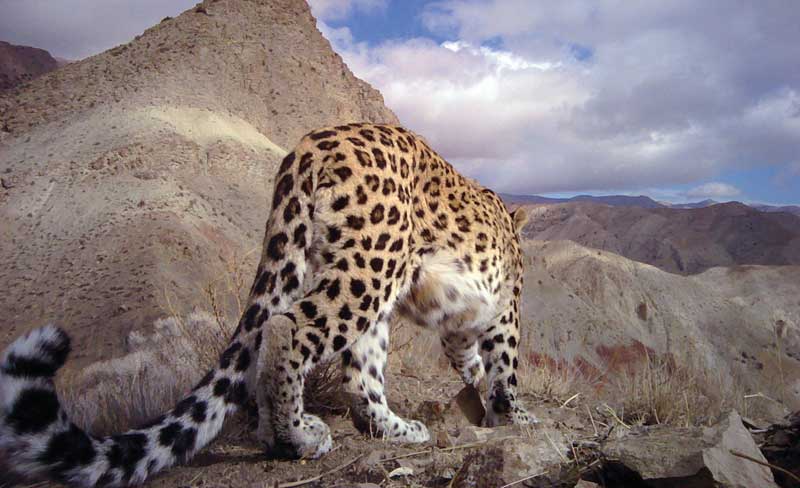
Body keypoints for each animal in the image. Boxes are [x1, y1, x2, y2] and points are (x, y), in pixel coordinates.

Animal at [3, 124, 536, 486]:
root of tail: (312, 144)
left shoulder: (464, 316)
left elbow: (463, 347)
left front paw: (475, 379)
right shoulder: (507, 307)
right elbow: (506, 365)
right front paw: (515, 416)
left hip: (350, 272)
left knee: (353, 368)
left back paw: (393, 429)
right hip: (371, 268)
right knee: (287, 329)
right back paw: (294, 437)